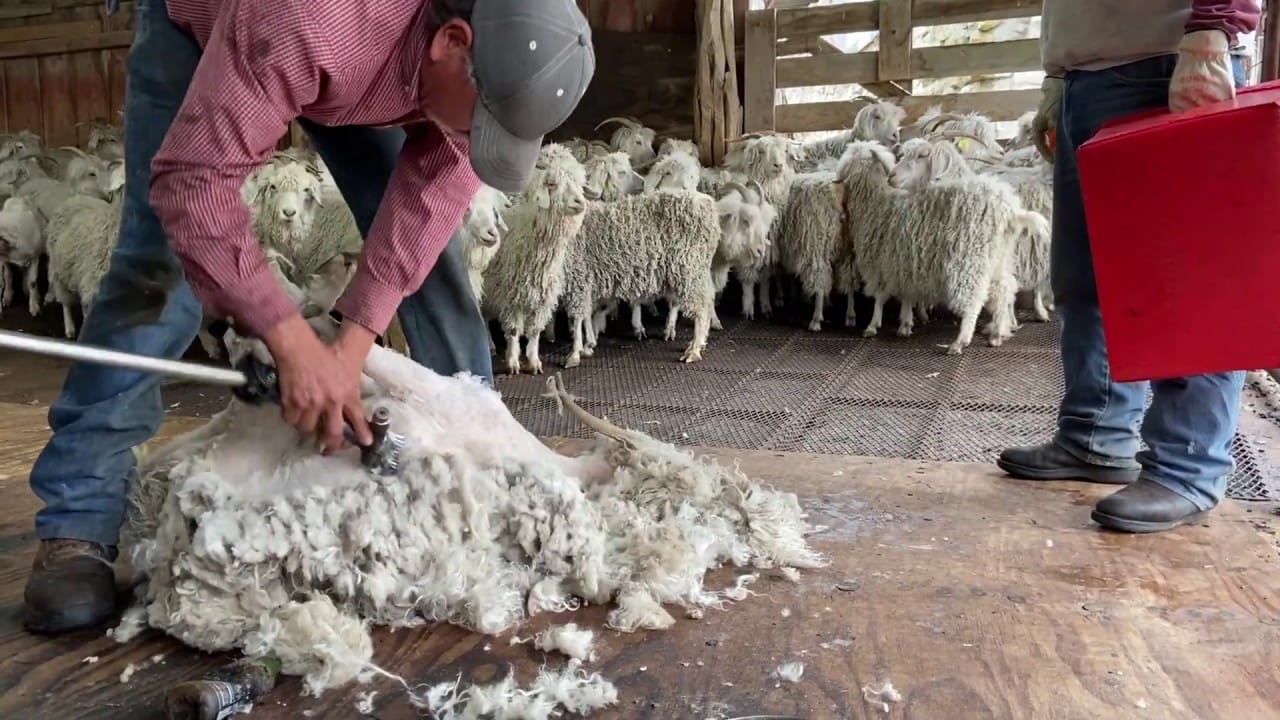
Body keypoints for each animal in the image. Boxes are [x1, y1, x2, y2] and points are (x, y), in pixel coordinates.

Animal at [481, 144, 588, 375]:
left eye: (578, 181)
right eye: (552, 183)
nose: (580, 202)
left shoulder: (544, 290)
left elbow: (535, 329)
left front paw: (533, 360)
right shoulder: (510, 290)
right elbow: (513, 330)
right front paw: (513, 361)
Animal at [561, 190, 719, 368]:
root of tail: (707, 203)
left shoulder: (577, 276)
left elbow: (577, 317)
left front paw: (575, 353)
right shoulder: (586, 280)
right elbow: (586, 313)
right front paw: (588, 344)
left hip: (688, 267)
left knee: (701, 307)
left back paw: (694, 349)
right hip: (693, 270)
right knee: (706, 299)